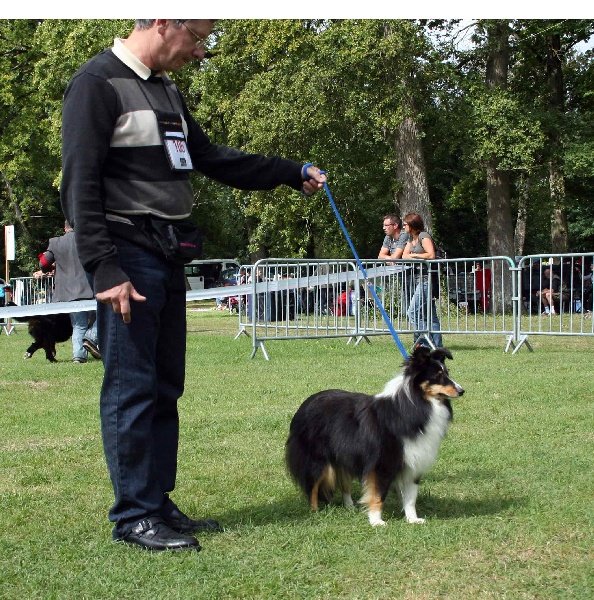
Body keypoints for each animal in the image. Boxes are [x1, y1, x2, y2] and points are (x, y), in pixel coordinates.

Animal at [284, 346, 462, 524]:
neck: (415, 405)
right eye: (438, 376)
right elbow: (378, 494)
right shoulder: (381, 464)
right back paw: (315, 512)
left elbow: (411, 497)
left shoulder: (414, 463)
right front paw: (376, 521)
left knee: (345, 484)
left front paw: (413, 519)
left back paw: (350, 507)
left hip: (343, 456)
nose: (462, 391)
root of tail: (306, 404)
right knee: (312, 486)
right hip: (317, 459)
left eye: (447, 373)